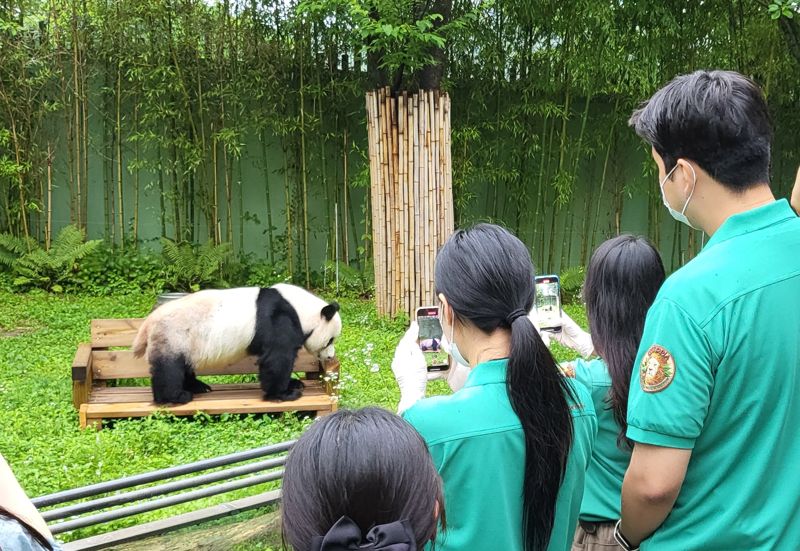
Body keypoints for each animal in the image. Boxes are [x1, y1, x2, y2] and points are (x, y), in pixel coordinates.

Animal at [130, 284, 340, 406]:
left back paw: (197, 387)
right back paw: (176, 397)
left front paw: (294, 383)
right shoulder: (279, 319)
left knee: (183, 365)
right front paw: (284, 393)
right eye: (331, 340)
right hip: (174, 335)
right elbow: (277, 358)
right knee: (169, 368)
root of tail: (149, 322)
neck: (300, 310)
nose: (330, 357)